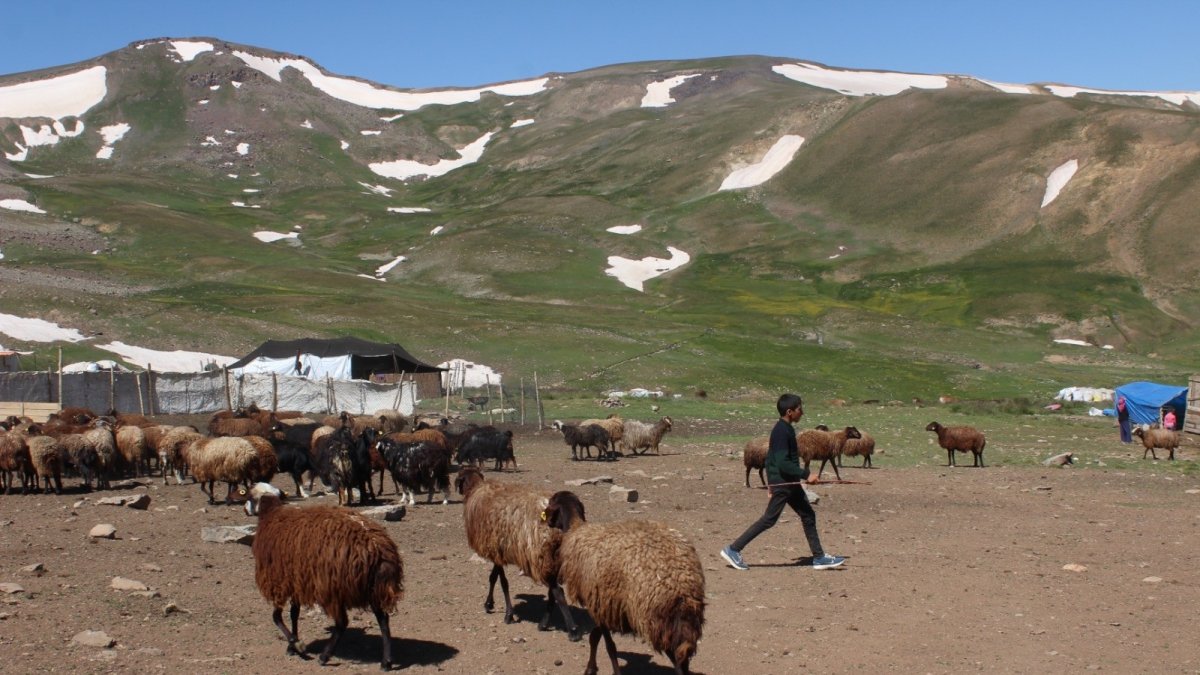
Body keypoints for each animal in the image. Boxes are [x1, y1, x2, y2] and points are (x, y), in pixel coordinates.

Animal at [243, 482, 403, 667]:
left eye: (249, 496)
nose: (245, 510)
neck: (271, 513)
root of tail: (378, 548)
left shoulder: (278, 581)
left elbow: (276, 617)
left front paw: (296, 643)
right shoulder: (297, 581)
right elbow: (294, 614)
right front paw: (292, 646)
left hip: (333, 588)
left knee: (342, 623)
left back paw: (324, 656)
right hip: (375, 588)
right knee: (383, 619)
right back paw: (386, 661)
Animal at [451, 466, 578, 634]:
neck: (475, 489)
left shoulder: (495, 550)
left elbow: (503, 582)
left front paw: (508, 614)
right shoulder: (498, 550)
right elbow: (493, 577)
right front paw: (489, 604)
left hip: (541, 556)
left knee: (558, 591)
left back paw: (572, 629)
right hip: (553, 559)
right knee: (553, 592)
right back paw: (544, 623)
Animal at [544, 487, 700, 672]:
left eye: (551, 502)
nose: (546, 522)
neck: (575, 529)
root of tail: (681, 586)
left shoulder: (600, 603)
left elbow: (609, 646)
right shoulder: (604, 606)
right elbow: (595, 636)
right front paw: (591, 668)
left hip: (658, 621)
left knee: (677, 660)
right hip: (680, 624)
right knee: (682, 660)